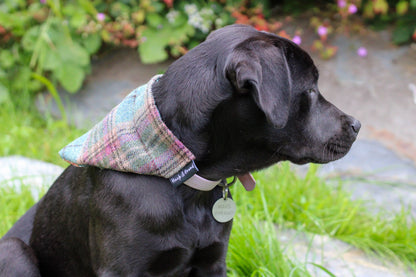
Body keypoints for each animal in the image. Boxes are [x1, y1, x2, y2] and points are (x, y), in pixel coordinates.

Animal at [0, 24, 360, 274]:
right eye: (310, 90)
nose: (356, 125)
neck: (184, 179)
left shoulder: (213, 262)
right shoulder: (120, 269)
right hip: (15, 253)